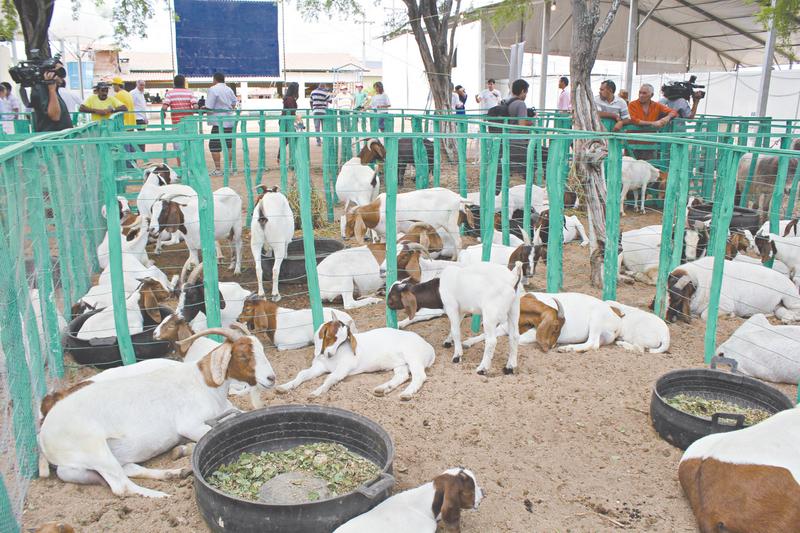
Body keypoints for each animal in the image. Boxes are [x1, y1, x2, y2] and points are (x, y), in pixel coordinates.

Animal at [38, 325, 275, 498]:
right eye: (243, 355)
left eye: (261, 350)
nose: (271, 378)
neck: (203, 382)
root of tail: (45, 436)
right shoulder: (190, 424)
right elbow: (203, 435)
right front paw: (184, 449)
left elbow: (237, 415)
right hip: (95, 449)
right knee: (120, 486)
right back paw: (161, 495)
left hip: (84, 465)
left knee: (126, 470)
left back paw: (175, 473)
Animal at [277, 313, 435, 400]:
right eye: (330, 336)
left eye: (343, 340)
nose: (329, 354)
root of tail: (429, 347)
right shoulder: (319, 367)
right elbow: (302, 374)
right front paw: (284, 387)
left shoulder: (344, 367)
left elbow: (331, 378)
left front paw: (316, 392)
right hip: (400, 364)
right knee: (402, 375)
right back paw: (383, 389)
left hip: (413, 357)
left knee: (419, 376)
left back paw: (406, 394)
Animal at [665, 256, 800, 323]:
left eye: (678, 298)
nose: (666, 319)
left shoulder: (725, 305)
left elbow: (704, 316)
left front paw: (731, 315)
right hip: (778, 305)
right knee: (779, 310)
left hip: (790, 299)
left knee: (796, 311)